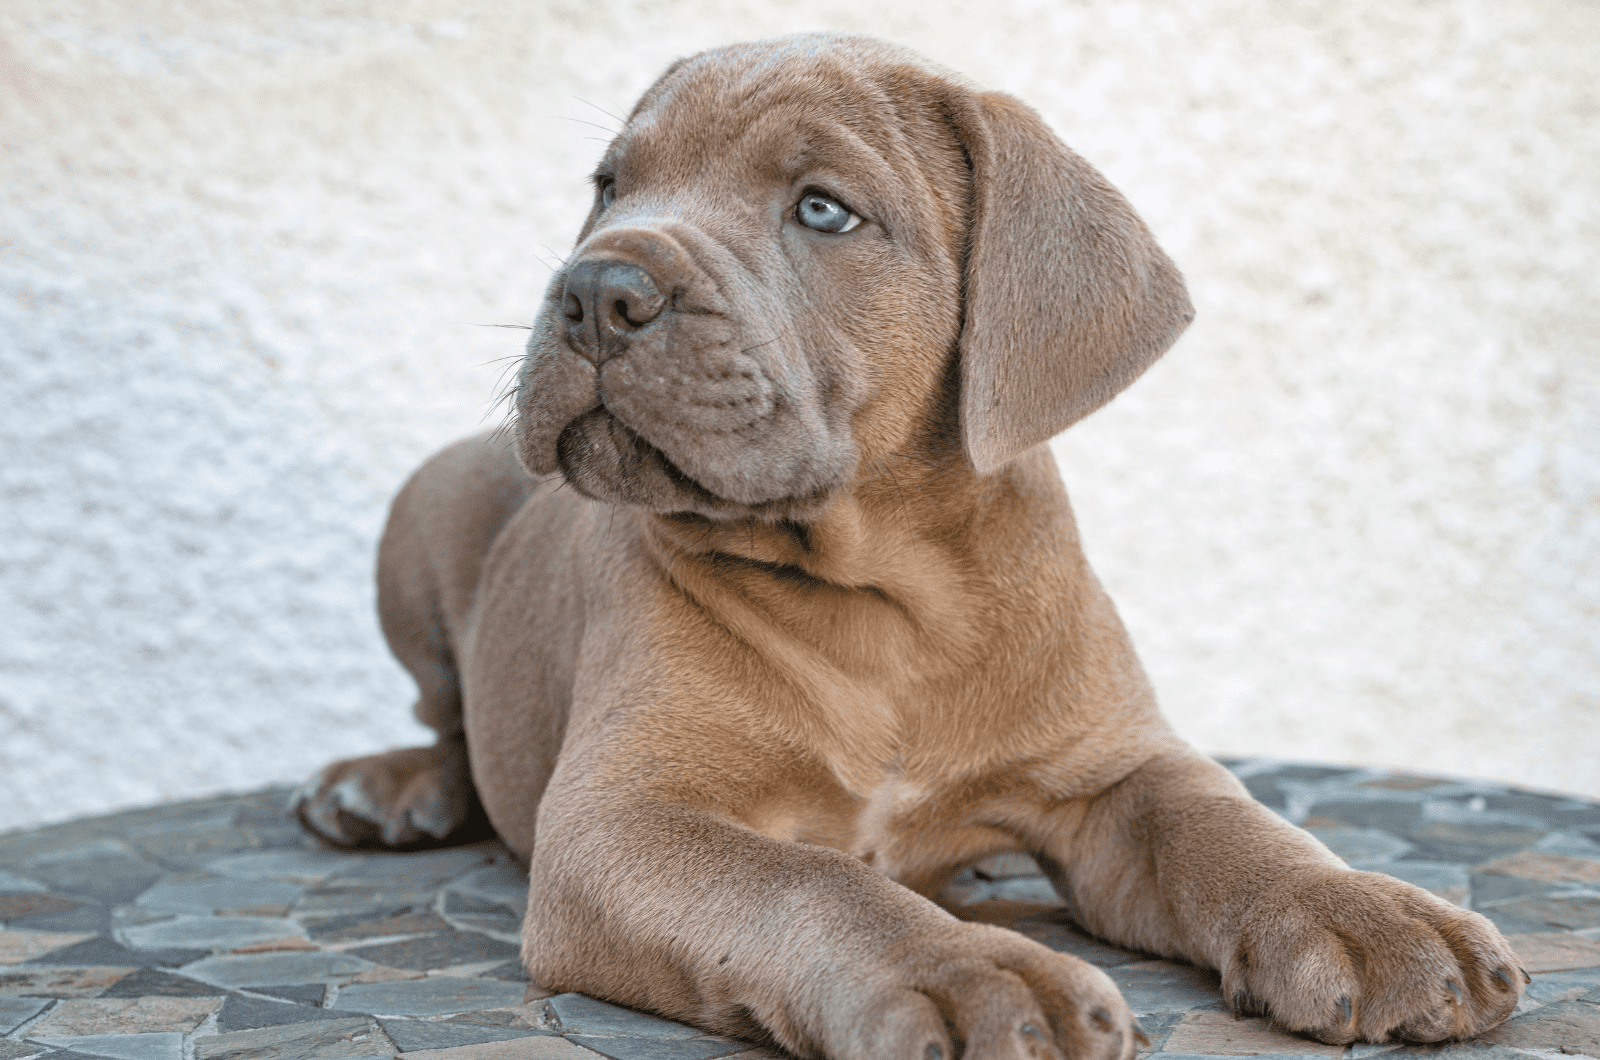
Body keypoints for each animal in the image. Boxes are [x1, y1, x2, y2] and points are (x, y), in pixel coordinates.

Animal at [297, 33, 1523, 1060]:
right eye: (608, 188)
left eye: (824, 211)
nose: (597, 286)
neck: (888, 595)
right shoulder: (623, 817)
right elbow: (809, 884)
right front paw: (973, 972)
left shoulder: (1115, 769)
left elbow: (1232, 827)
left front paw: (1372, 912)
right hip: (424, 514)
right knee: (445, 712)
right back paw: (389, 787)